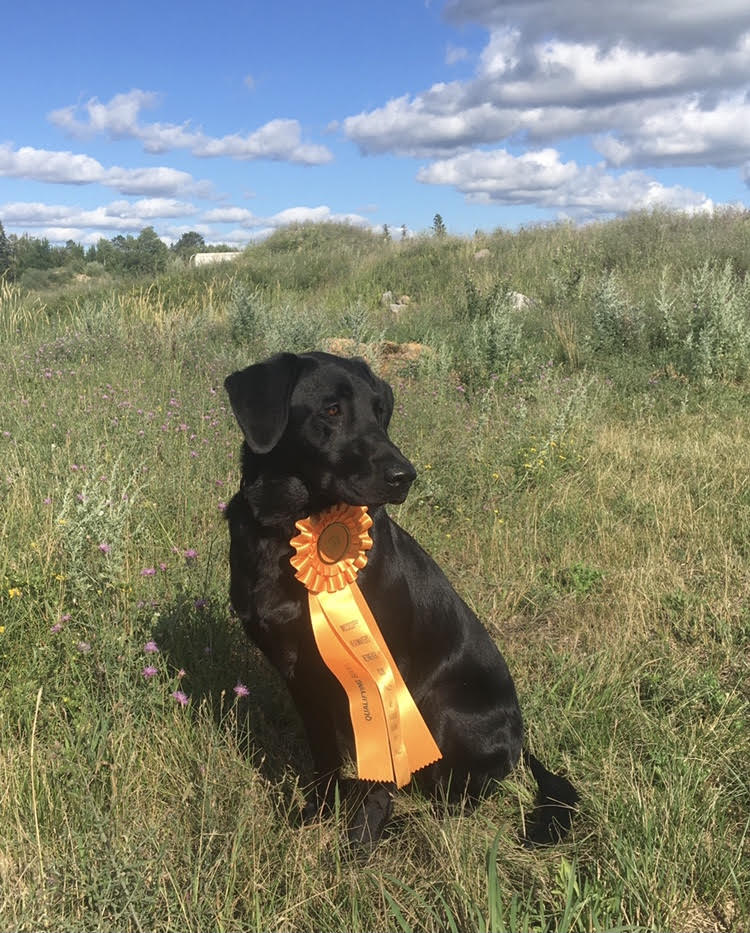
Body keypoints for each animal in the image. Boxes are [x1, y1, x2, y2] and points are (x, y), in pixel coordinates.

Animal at [226, 350, 580, 844]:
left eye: (380, 411)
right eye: (331, 410)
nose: (405, 476)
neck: (289, 528)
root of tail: (523, 743)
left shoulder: (380, 677)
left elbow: (383, 773)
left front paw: (360, 839)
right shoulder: (301, 678)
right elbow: (325, 758)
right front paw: (318, 813)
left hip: (444, 709)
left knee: (456, 802)